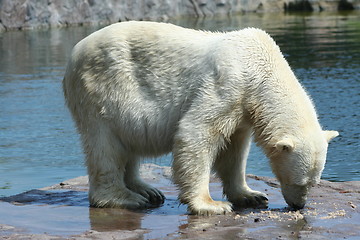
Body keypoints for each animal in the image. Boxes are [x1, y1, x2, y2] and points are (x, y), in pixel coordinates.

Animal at [63, 21, 338, 216]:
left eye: (314, 183)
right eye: (300, 182)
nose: (299, 205)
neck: (260, 67)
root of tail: (74, 53)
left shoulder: (243, 109)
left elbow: (234, 150)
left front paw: (251, 195)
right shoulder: (228, 85)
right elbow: (197, 132)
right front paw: (210, 204)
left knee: (128, 140)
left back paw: (147, 190)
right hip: (102, 90)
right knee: (105, 145)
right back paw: (125, 197)